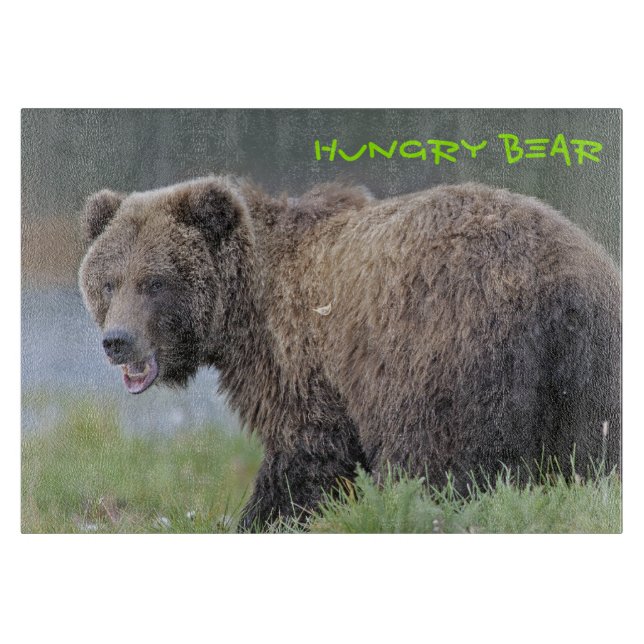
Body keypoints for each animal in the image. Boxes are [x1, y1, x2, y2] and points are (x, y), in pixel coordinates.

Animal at [79, 177, 621, 529]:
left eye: (154, 282)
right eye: (108, 281)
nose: (117, 340)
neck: (244, 310)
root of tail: (561, 281)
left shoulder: (301, 360)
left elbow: (306, 453)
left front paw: (261, 517)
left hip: (445, 351)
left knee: (432, 458)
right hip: (591, 369)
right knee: (594, 457)